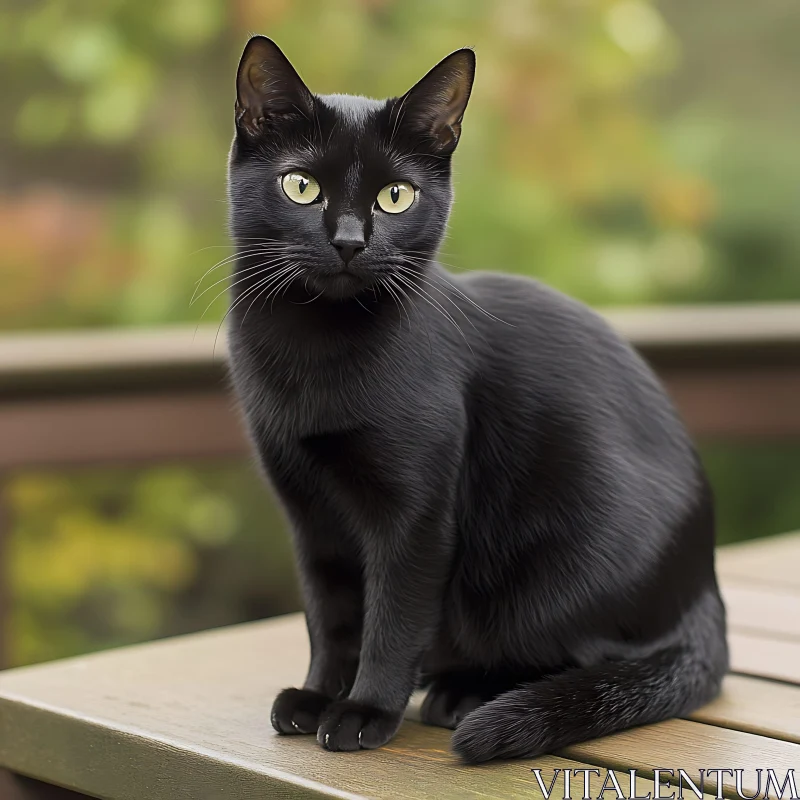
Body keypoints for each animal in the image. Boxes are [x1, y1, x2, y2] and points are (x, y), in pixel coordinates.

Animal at [227, 37, 732, 764]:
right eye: (301, 186)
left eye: (396, 196)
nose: (351, 241)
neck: (312, 356)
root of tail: (705, 589)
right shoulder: (309, 513)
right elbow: (331, 617)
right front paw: (318, 695)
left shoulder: (416, 515)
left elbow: (392, 617)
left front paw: (365, 711)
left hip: (552, 578)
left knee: (587, 653)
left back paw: (465, 693)